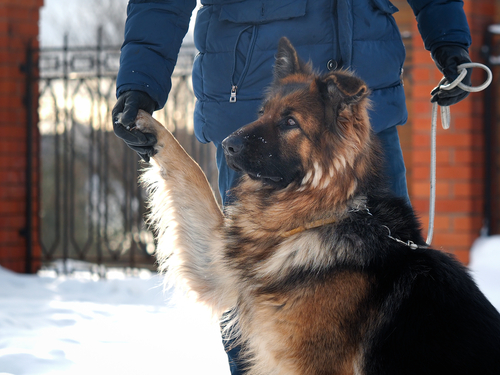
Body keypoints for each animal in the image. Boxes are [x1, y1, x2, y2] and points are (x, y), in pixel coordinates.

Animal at [134, 37, 500, 374]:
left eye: (290, 123)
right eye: (262, 112)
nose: (227, 145)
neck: (321, 215)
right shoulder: (217, 266)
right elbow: (189, 169)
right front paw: (139, 113)